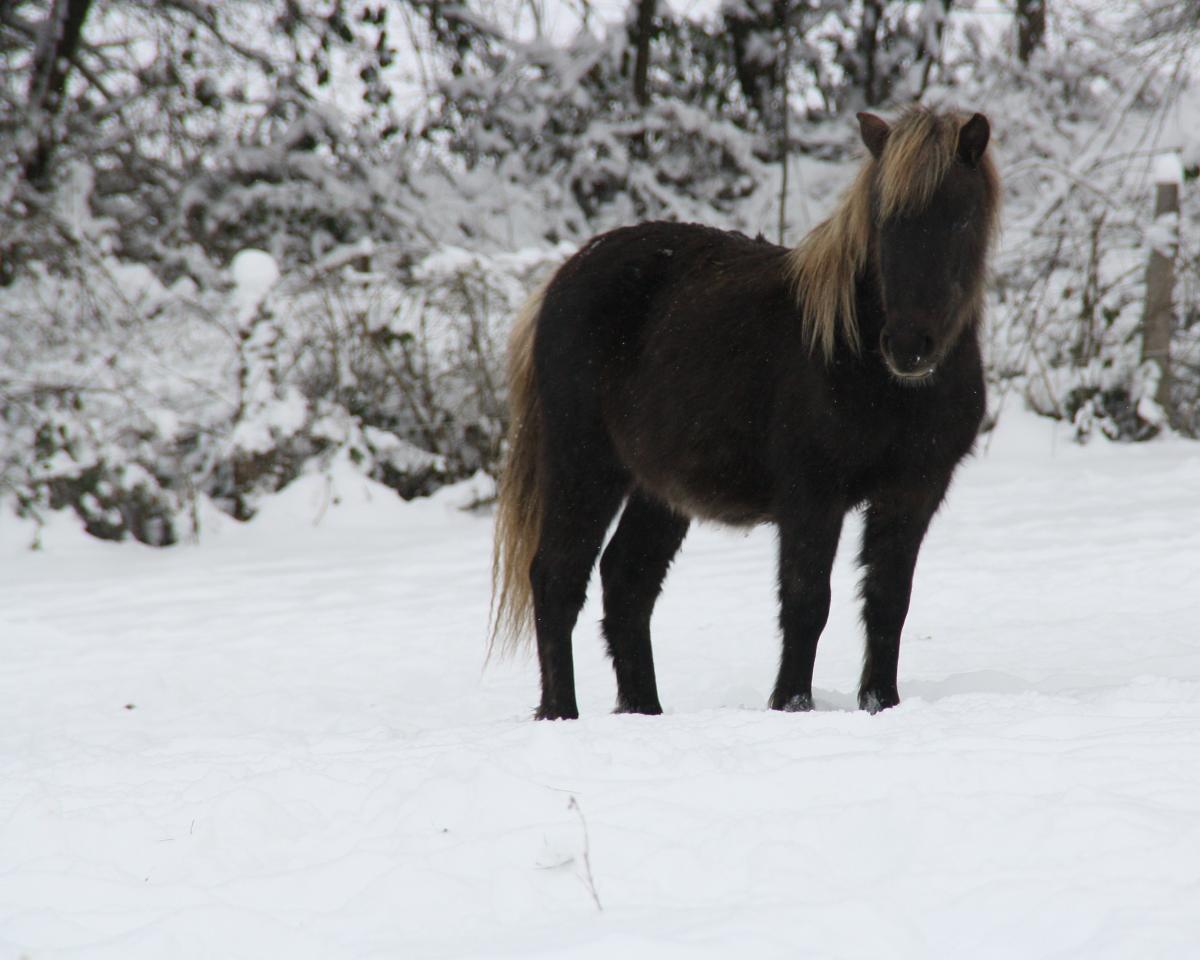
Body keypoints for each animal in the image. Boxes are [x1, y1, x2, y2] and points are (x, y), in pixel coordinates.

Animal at [491, 107, 1000, 720]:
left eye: (960, 219)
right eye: (881, 222)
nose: (907, 347)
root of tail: (561, 280)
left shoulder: (913, 493)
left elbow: (886, 603)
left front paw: (882, 703)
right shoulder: (812, 495)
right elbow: (807, 601)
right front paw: (792, 704)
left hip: (658, 491)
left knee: (627, 582)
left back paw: (645, 711)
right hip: (584, 468)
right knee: (557, 577)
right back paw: (560, 713)